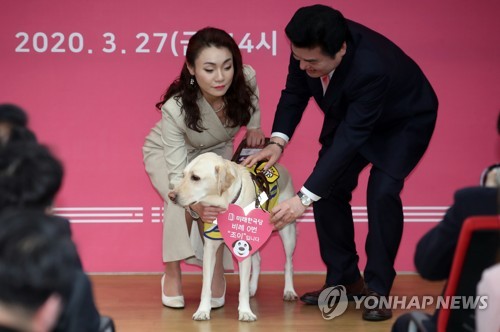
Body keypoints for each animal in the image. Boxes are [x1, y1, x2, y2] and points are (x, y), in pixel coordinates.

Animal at [168, 152, 296, 320]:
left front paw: (246, 312)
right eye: (183, 175)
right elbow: (206, 286)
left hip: (287, 230)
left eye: (195, 177)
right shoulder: (210, 249)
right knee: (257, 261)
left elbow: (242, 288)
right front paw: (203, 310)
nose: (171, 196)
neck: (225, 205)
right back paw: (252, 287)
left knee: (288, 263)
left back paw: (289, 291)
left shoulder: (243, 245)